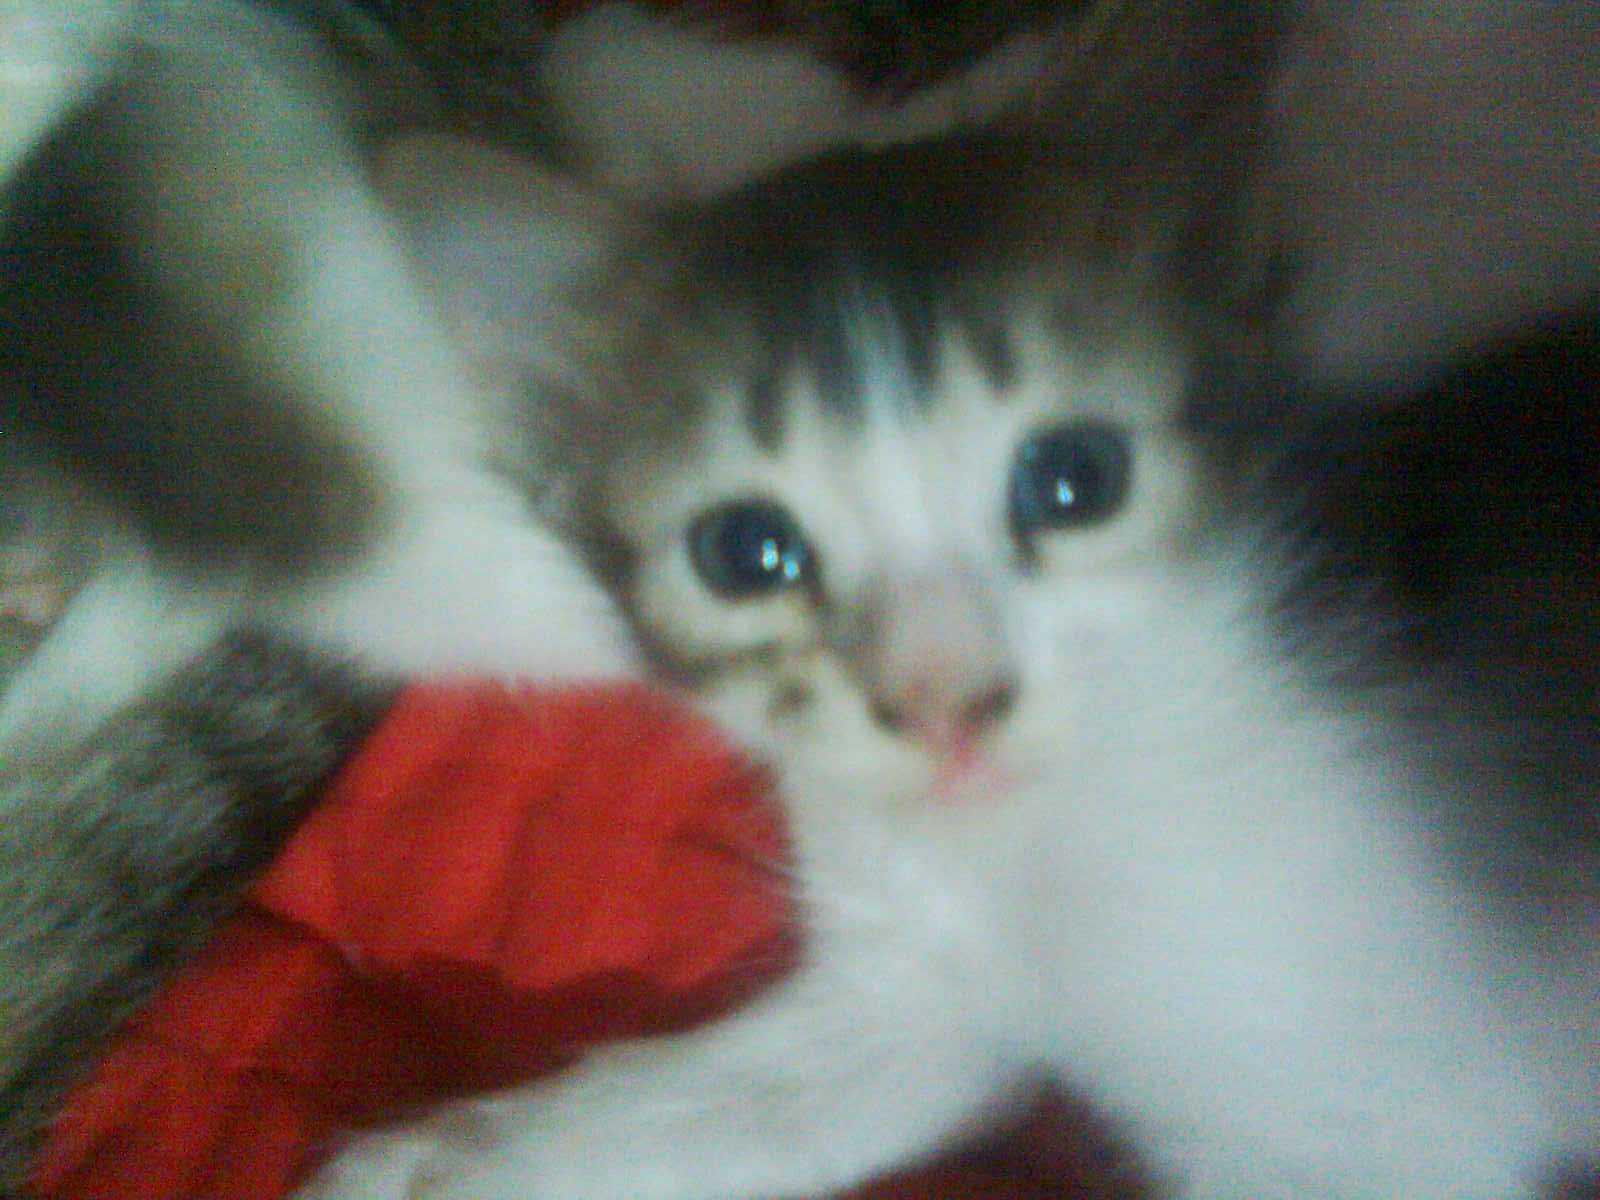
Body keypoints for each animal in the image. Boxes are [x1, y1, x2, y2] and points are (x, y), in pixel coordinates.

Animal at [300, 130, 1599, 1199]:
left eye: (1075, 481)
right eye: (744, 554)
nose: (944, 704)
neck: (1017, 856)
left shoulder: (1379, 1128)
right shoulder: (909, 997)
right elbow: (710, 1106)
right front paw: (425, 1163)